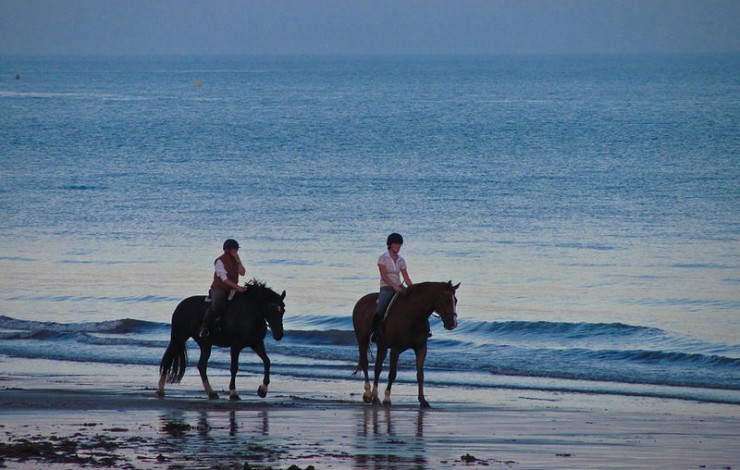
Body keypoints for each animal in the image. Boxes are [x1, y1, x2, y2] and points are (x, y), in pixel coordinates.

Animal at [156, 280, 286, 402]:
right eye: (272, 309)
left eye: (283, 310)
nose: (279, 335)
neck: (250, 314)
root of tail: (180, 306)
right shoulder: (236, 346)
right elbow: (234, 368)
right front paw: (233, 393)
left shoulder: (256, 343)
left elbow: (267, 361)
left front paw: (262, 390)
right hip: (178, 338)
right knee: (168, 359)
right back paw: (160, 390)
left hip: (205, 344)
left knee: (201, 365)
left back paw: (211, 392)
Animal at [352, 280, 456, 410]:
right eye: (446, 300)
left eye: (456, 300)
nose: (452, 324)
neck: (414, 315)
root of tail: (361, 301)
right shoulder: (395, 349)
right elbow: (392, 374)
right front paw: (387, 398)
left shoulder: (421, 348)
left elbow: (420, 374)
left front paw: (423, 401)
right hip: (362, 340)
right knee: (366, 364)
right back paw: (368, 393)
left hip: (382, 345)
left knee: (377, 368)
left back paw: (374, 396)